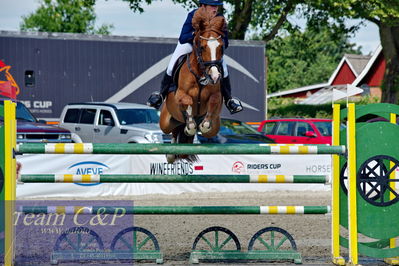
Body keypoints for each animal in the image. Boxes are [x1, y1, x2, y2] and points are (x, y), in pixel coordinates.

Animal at [161, 8, 227, 162]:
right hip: (165, 123)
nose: (215, 76)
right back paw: (172, 152)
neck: (201, 75)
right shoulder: (180, 94)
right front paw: (189, 126)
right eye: (202, 47)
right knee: (173, 131)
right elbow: (187, 101)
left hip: (215, 127)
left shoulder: (216, 96)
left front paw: (202, 125)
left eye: (221, 47)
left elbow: (213, 102)